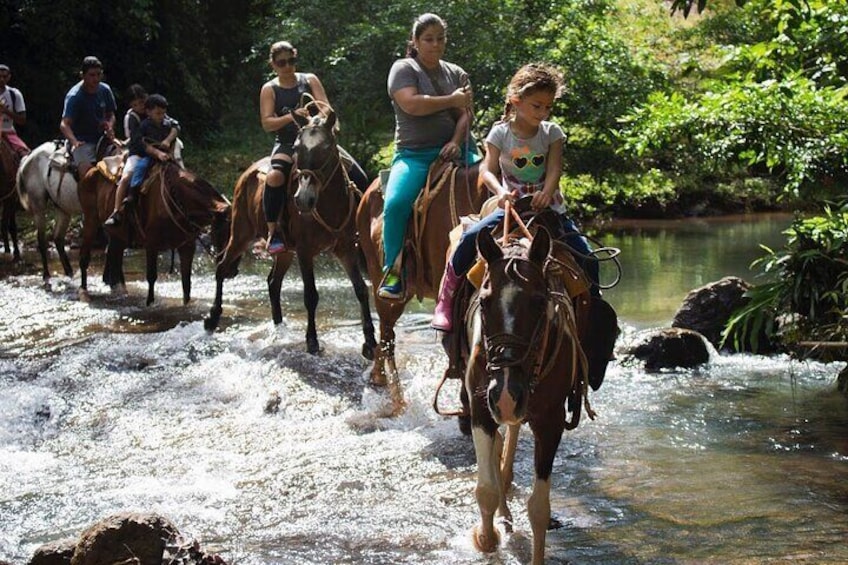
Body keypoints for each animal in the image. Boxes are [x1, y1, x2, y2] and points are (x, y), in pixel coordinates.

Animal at [78, 159, 230, 304]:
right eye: (222, 233)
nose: (228, 269)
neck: (177, 199)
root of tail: (92, 169)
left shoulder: (187, 246)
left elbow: (186, 282)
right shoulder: (152, 244)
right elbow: (151, 276)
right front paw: (150, 302)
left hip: (117, 235)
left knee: (114, 256)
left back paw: (120, 290)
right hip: (90, 221)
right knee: (85, 256)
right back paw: (84, 293)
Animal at [200, 110, 376, 356]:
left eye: (327, 147)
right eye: (296, 147)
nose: (303, 199)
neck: (328, 205)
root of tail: (246, 172)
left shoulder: (346, 248)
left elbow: (360, 289)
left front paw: (370, 341)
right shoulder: (304, 251)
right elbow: (311, 295)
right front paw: (312, 341)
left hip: (284, 252)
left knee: (273, 282)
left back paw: (278, 327)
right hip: (242, 234)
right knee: (222, 268)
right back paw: (212, 318)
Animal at [464, 226, 596, 564]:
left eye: (538, 302)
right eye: (485, 302)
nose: (506, 395)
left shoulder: (550, 422)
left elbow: (539, 508)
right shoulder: (481, 408)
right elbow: (485, 489)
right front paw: (486, 538)